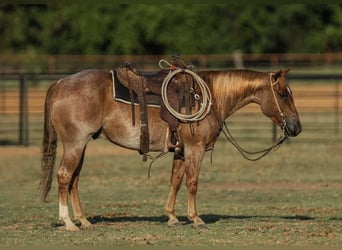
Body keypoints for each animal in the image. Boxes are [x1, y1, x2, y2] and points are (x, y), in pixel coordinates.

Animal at [40, 66, 302, 230]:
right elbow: (192, 182)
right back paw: (68, 222)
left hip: (81, 145)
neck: (210, 97)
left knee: (74, 180)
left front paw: (172, 216)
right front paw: (195, 218)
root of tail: (60, 83)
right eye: (282, 94)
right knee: (64, 176)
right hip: (75, 144)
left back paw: (83, 221)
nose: (296, 127)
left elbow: (175, 180)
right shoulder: (195, 148)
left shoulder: (181, 150)